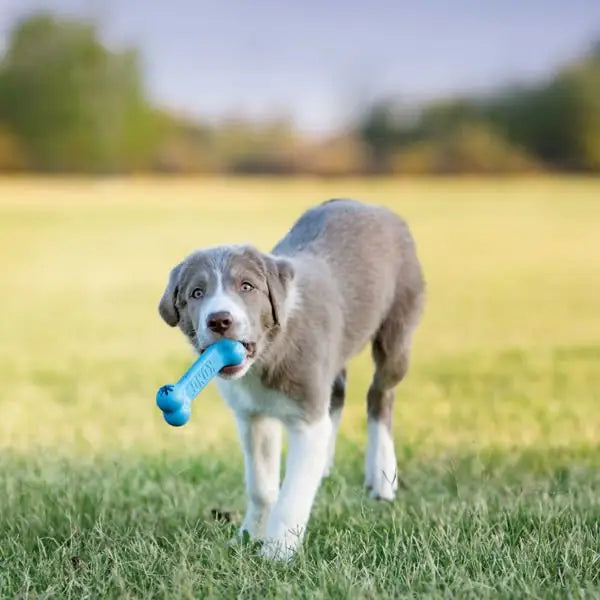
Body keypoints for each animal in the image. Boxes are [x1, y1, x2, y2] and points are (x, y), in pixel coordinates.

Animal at [157, 199, 424, 560]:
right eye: (197, 293)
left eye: (247, 287)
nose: (220, 320)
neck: (266, 356)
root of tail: (374, 206)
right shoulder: (254, 416)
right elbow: (261, 486)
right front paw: (249, 536)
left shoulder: (306, 417)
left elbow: (293, 491)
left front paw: (278, 551)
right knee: (337, 393)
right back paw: (326, 464)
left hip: (398, 325)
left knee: (380, 393)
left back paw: (382, 476)